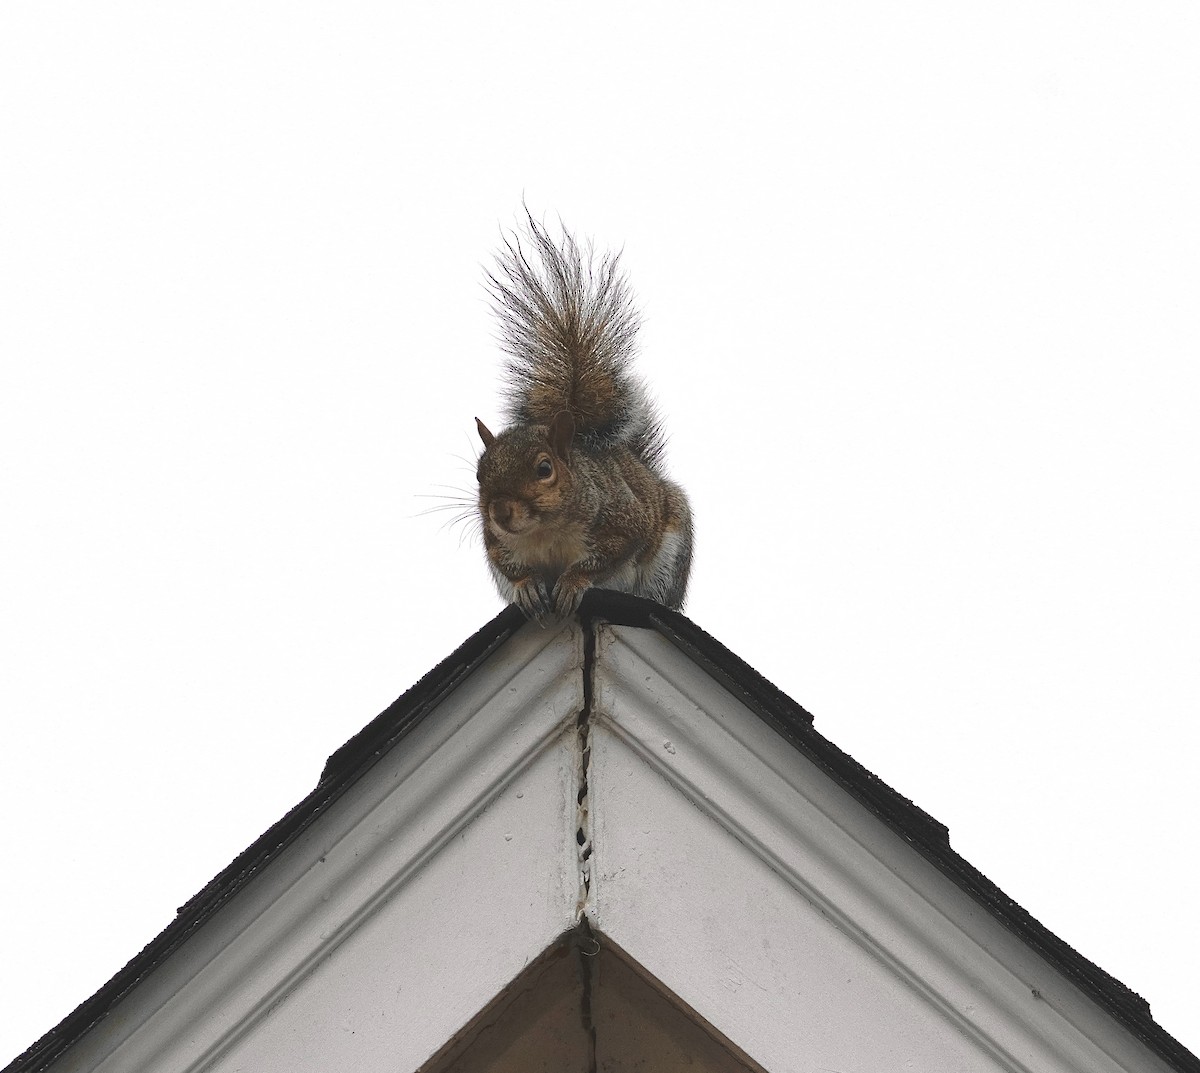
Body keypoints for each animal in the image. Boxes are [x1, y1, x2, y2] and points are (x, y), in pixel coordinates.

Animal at [474, 213, 693, 620]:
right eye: (479, 474)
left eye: (545, 469)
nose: (499, 512)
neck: (544, 532)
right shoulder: (497, 543)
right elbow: (509, 566)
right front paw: (528, 587)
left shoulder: (625, 519)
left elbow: (607, 556)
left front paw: (573, 582)